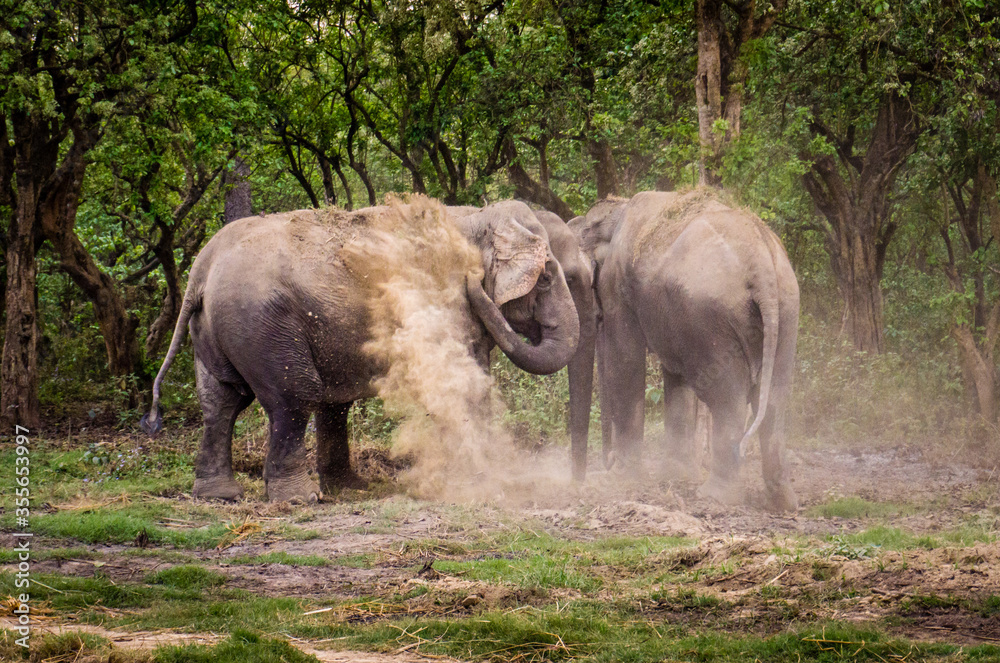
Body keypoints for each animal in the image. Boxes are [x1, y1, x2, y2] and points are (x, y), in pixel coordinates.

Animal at [141, 198, 580, 503]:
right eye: (546, 278)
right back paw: (301, 499)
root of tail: (201, 270)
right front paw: (483, 481)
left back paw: (223, 496)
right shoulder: (441, 303)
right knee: (295, 395)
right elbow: (463, 381)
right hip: (262, 324)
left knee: (222, 401)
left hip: (219, 329)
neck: (477, 216)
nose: (473, 281)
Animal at [578, 189, 800, 512]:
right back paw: (780, 501)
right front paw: (675, 475)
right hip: (785, 311)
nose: (607, 461)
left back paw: (714, 495)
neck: (617, 210)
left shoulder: (618, 288)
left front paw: (619, 478)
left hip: (710, 316)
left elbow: (626, 360)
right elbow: (675, 375)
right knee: (773, 399)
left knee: (727, 399)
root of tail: (762, 266)